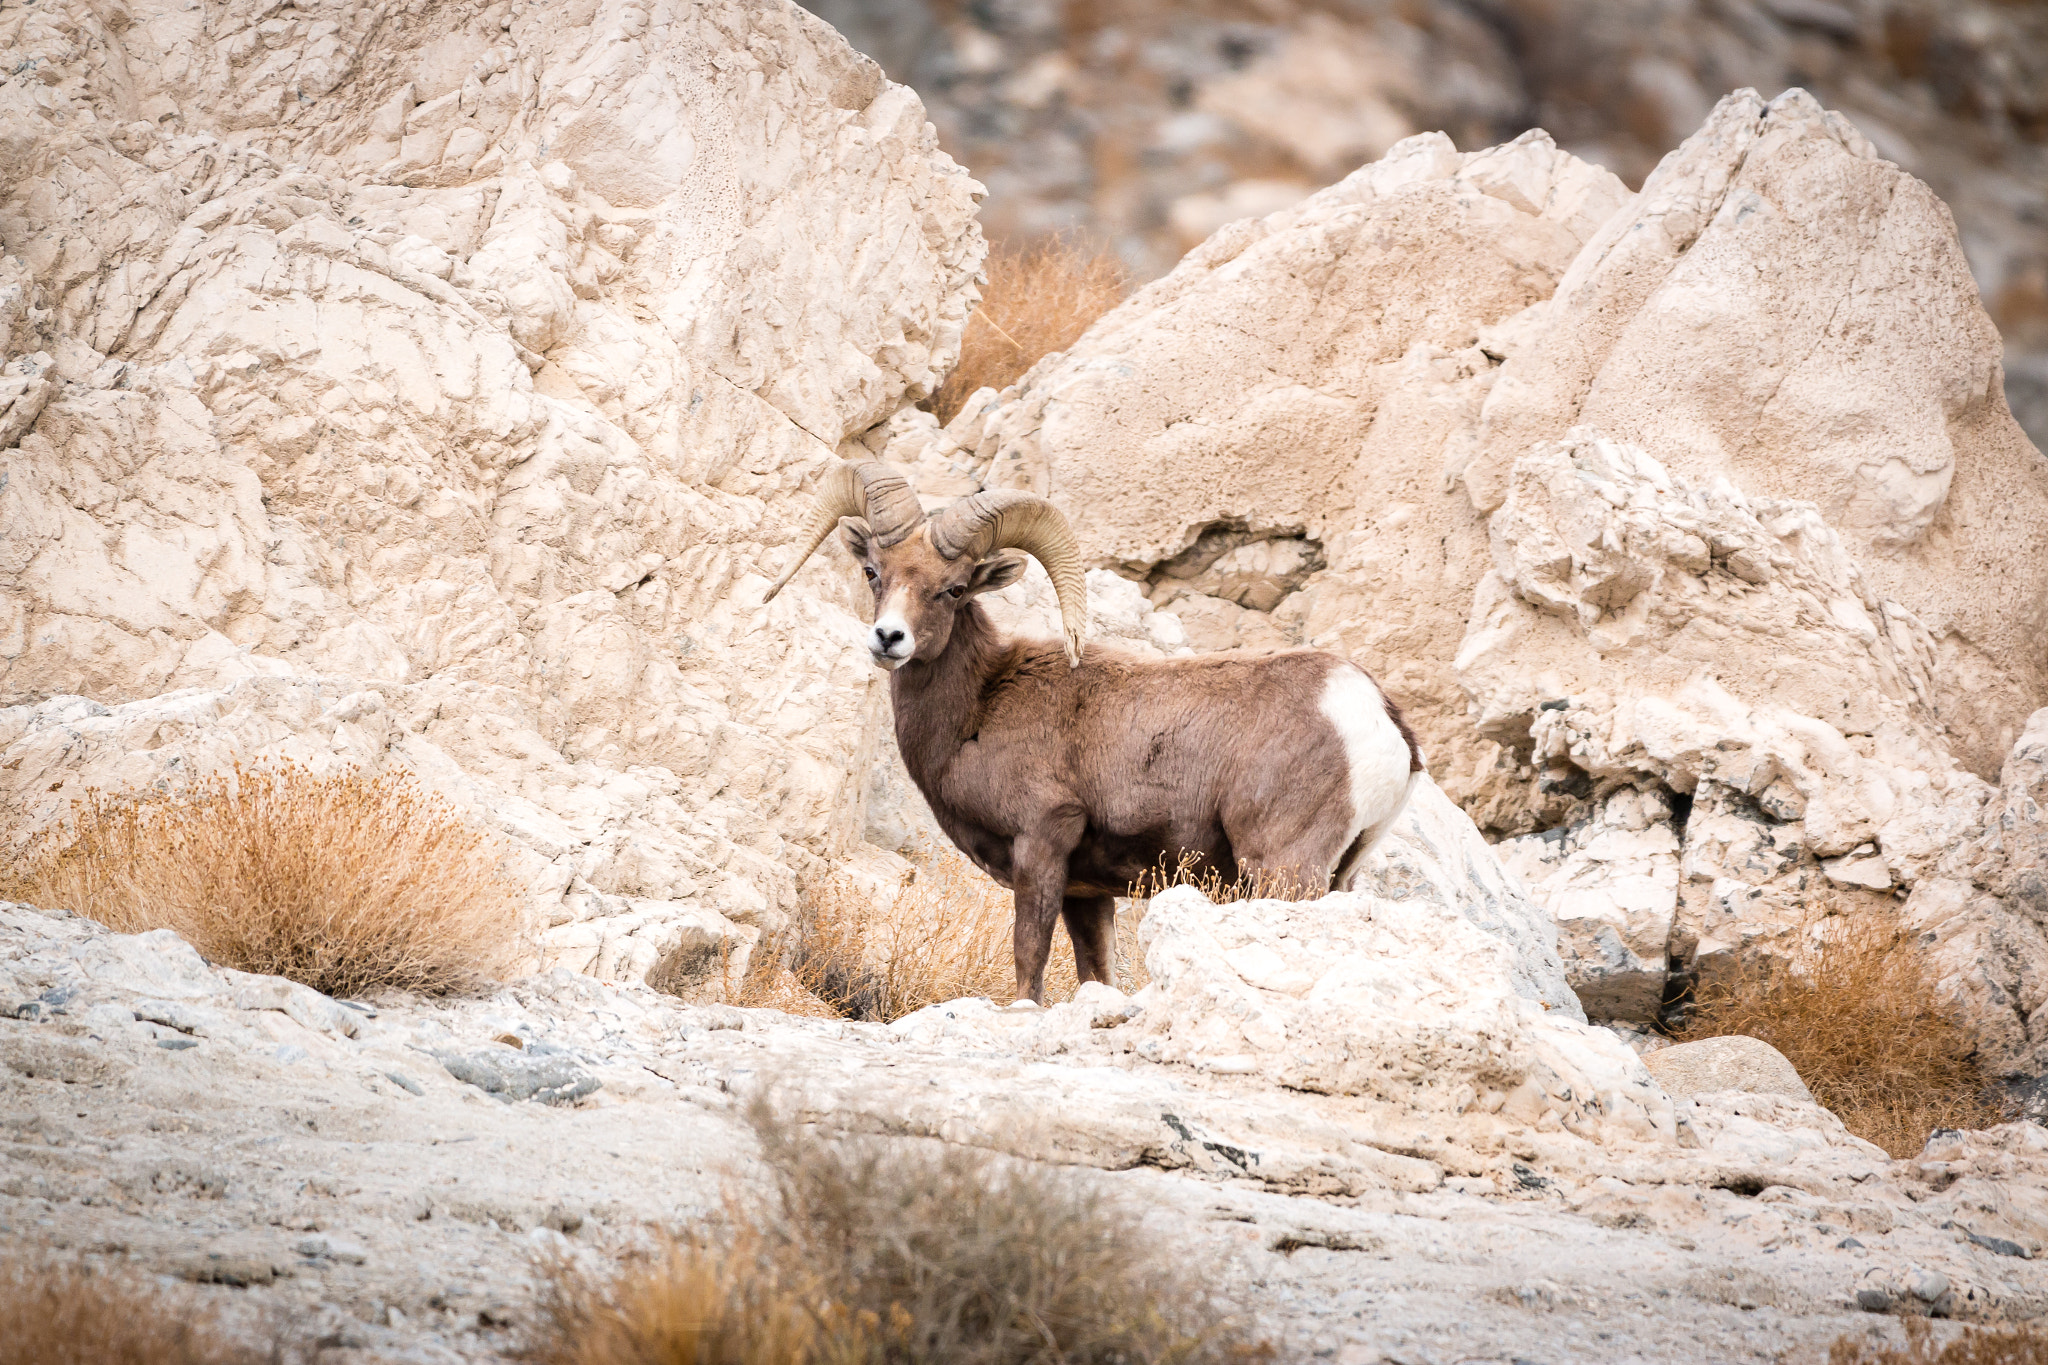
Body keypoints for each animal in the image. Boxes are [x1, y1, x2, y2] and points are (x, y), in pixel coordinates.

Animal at [763, 460, 1424, 1005]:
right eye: (873, 572)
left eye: (952, 589)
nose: (888, 639)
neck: (980, 708)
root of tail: (1374, 716)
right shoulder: (1088, 893)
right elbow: (1097, 975)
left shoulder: (1042, 844)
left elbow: (1029, 960)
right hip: (1339, 874)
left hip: (1284, 869)